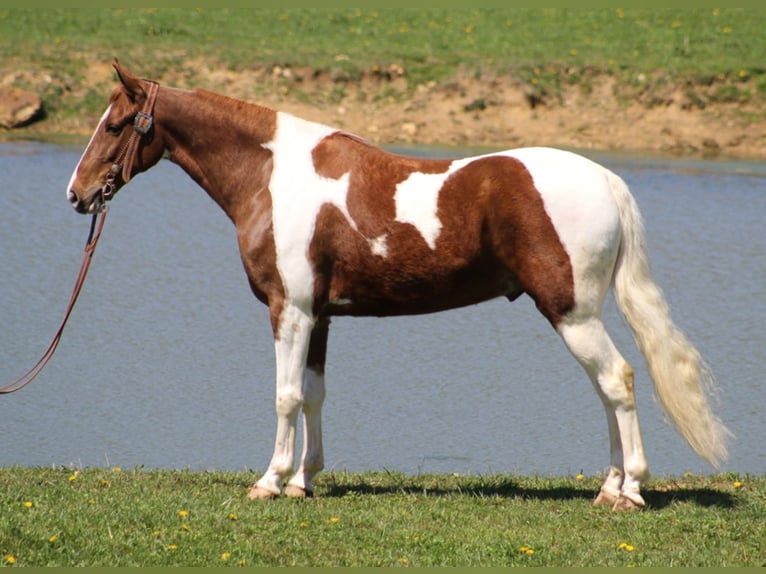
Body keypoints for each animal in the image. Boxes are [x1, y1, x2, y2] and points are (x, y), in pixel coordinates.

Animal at [66, 60, 732, 512]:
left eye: (117, 124)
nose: (77, 194)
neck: (273, 177)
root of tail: (606, 181)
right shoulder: (321, 315)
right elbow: (313, 395)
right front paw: (303, 481)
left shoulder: (290, 309)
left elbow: (285, 396)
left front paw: (269, 482)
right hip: (577, 316)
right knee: (606, 389)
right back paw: (609, 486)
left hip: (572, 314)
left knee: (617, 381)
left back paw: (630, 490)